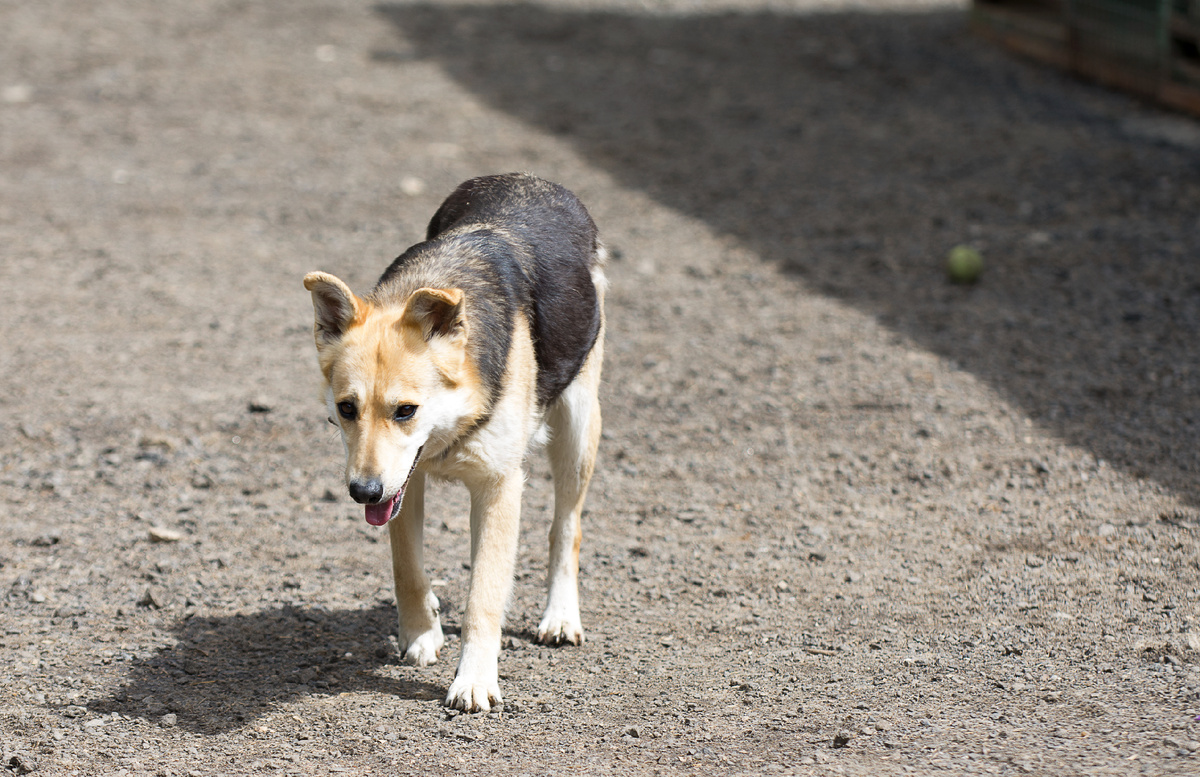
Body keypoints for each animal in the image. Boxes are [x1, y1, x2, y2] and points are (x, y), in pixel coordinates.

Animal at [304, 172, 604, 714]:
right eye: (346, 409)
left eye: (406, 411)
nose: (362, 492)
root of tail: (531, 179)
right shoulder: (405, 482)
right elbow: (406, 567)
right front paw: (421, 633)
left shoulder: (498, 488)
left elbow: (484, 595)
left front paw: (475, 681)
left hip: (577, 426)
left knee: (565, 527)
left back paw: (560, 615)